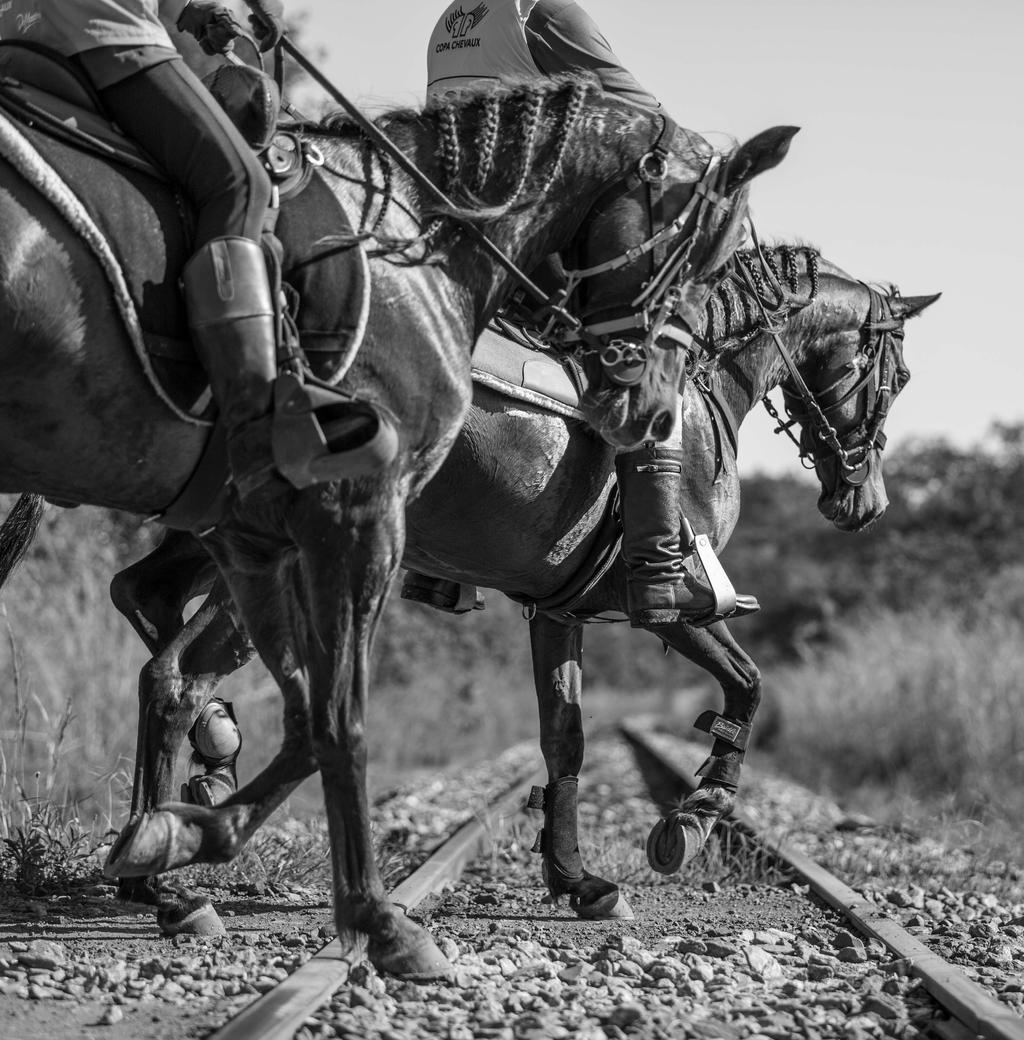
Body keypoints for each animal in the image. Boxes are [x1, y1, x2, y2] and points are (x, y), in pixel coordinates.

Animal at [11, 243, 935, 927]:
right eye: (896, 376)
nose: (867, 501)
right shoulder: (672, 610)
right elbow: (746, 685)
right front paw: (691, 819)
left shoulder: (558, 611)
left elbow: (566, 740)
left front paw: (576, 879)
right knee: (176, 672)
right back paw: (164, 866)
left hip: (218, 549)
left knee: (148, 614)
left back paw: (178, 812)